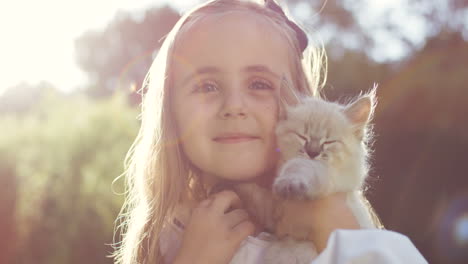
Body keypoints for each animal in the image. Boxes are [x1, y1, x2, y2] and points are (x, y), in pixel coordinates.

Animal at [232, 88, 382, 264]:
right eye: (302, 137)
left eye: (328, 142)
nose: (312, 152)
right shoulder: (271, 210)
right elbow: (252, 195)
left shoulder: (327, 175)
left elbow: (302, 168)